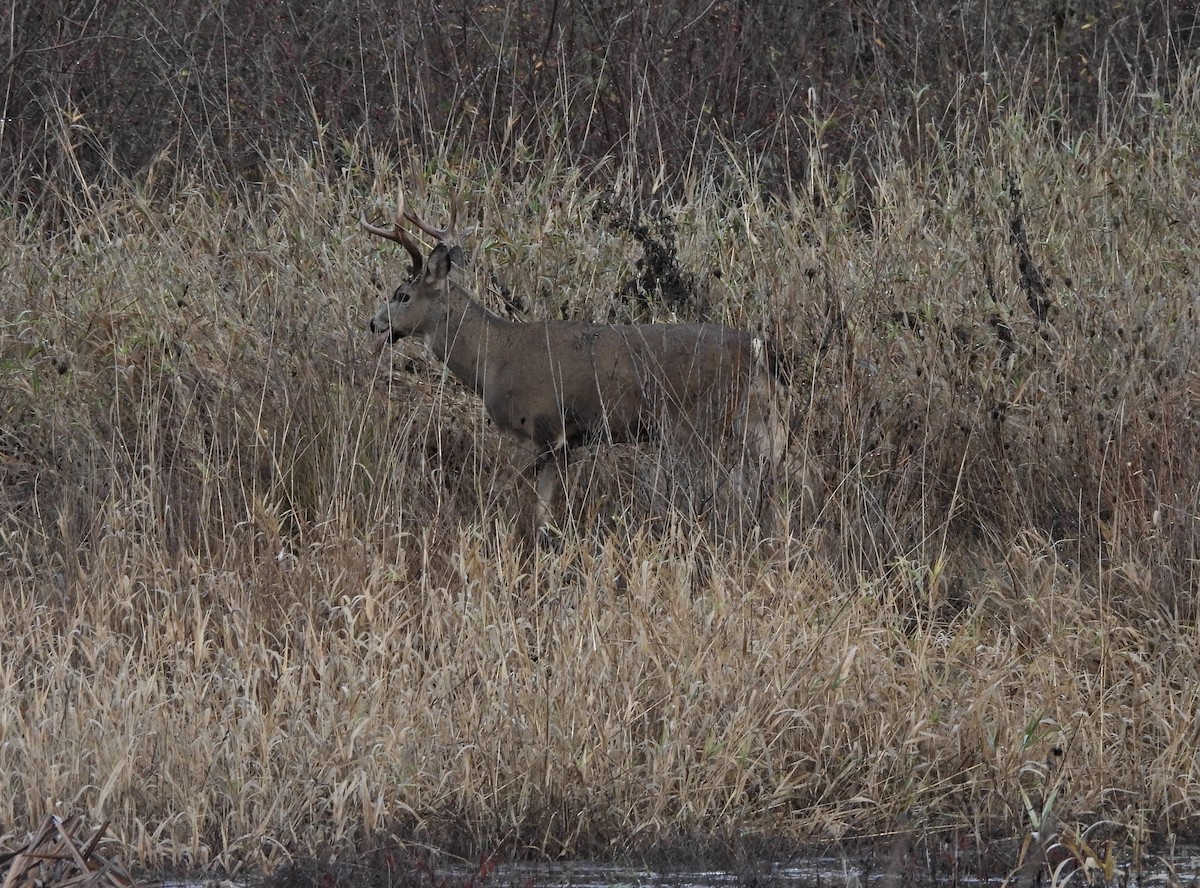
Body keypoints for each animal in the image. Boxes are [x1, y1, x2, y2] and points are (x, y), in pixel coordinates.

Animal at [362, 185, 789, 544]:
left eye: (402, 295)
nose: (374, 323)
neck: (493, 357)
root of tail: (755, 348)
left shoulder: (541, 429)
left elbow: (527, 505)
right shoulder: (567, 442)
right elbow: (543, 515)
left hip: (702, 421)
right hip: (760, 422)